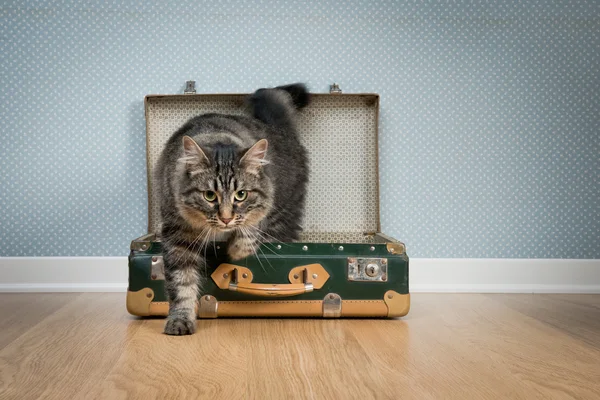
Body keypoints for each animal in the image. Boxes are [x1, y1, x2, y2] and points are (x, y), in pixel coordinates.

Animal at [155, 83, 310, 334]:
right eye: (210, 196)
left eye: (241, 195)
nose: (226, 218)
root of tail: (276, 128)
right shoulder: (178, 236)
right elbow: (182, 286)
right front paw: (180, 320)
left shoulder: (261, 212)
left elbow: (249, 233)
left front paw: (236, 250)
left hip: (282, 217)